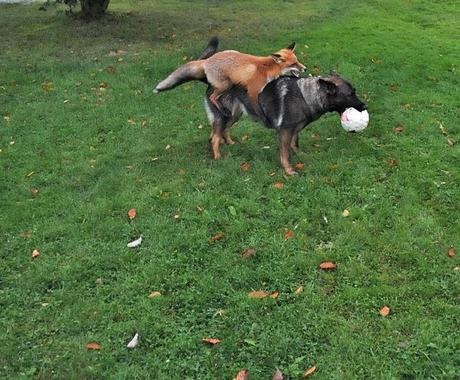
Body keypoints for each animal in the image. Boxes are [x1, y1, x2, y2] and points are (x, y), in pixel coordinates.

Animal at [155, 39, 306, 110]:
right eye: (294, 64)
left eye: (298, 61)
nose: (305, 68)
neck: (267, 68)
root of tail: (207, 60)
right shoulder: (253, 91)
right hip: (225, 85)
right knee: (212, 97)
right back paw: (221, 108)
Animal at [199, 38, 368, 175]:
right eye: (350, 94)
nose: (364, 106)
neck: (306, 95)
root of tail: (210, 81)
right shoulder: (285, 132)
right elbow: (285, 154)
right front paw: (288, 171)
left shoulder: (294, 131)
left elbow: (295, 145)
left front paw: (300, 156)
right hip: (223, 116)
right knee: (215, 137)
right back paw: (218, 156)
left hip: (234, 115)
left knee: (222, 131)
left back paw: (230, 143)